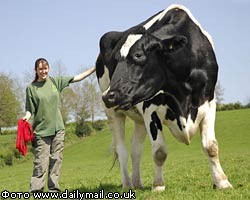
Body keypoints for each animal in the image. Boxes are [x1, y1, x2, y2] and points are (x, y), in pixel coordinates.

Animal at [95, 3, 232, 191]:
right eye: (115, 60)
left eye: (138, 55)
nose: (108, 96)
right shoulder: (149, 108)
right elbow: (159, 151)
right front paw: (158, 185)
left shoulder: (209, 101)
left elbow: (211, 146)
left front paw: (222, 181)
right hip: (114, 113)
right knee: (122, 150)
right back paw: (128, 185)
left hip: (138, 119)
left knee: (135, 148)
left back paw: (138, 184)